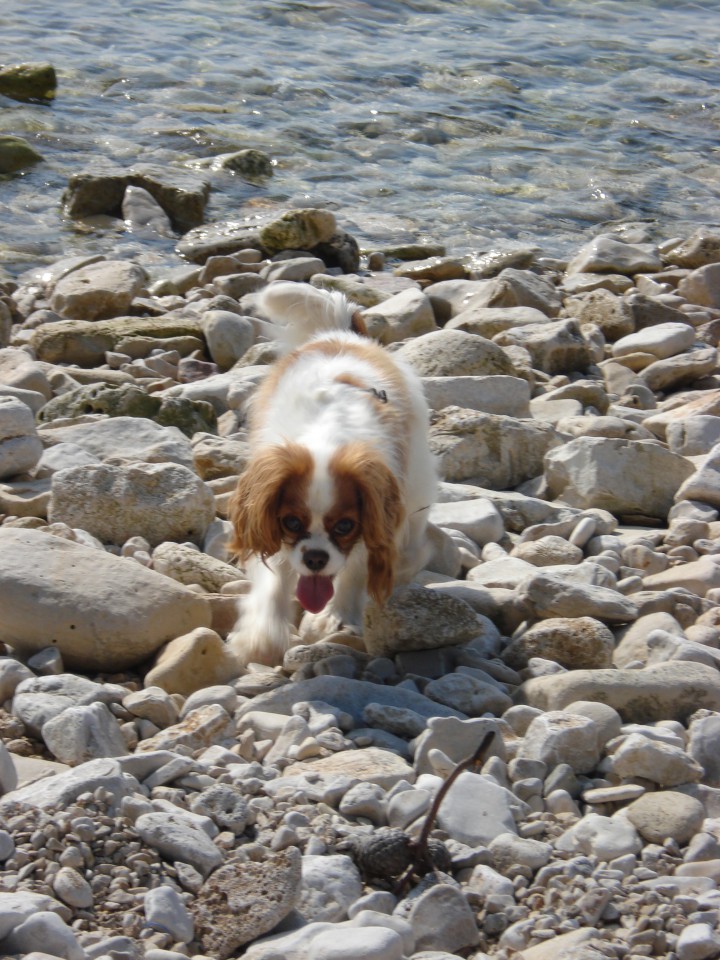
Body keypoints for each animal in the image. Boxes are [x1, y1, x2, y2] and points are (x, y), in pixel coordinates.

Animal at [228, 282, 436, 664]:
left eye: (344, 526)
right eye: (291, 522)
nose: (315, 558)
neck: (327, 438)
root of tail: (342, 333)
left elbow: (357, 568)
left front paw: (336, 617)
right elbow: (275, 577)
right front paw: (263, 636)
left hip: (416, 477)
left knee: (415, 532)